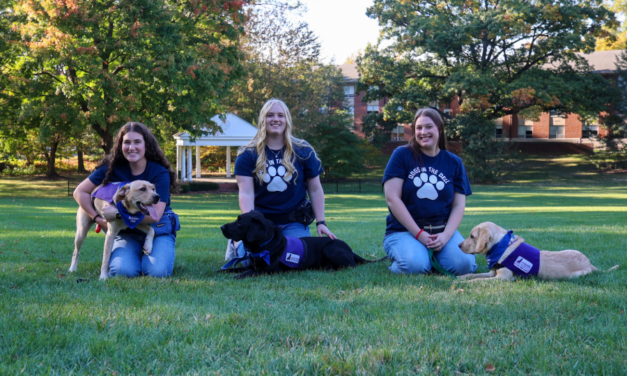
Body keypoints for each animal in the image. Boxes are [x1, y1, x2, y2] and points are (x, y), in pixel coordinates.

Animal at [221, 212, 388, 280]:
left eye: (240, 222)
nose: (221, 227)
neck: (264, 245)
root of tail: (350, 250)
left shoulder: (269, 271)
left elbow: (248, 273)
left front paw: (237, 277)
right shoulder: (252, 266)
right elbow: (228, 269)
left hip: (330, 247)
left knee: (351, 266)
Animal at [456, 222, 620, 280]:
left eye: (472, 236)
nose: (458, 245)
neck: (500, 246)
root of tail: (590, 263)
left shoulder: (503, 278)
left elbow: (478, 281)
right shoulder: (492, 273)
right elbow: (473, 275)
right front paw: (461, 277)